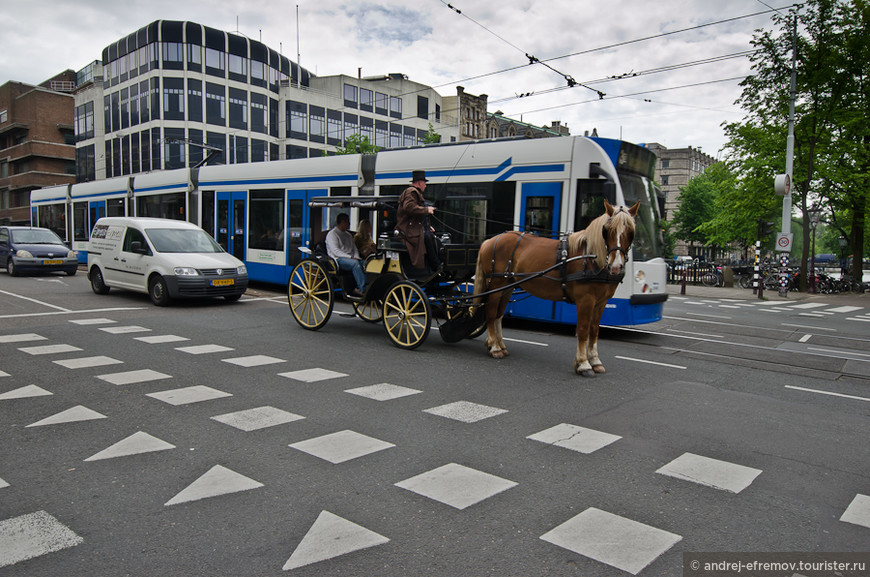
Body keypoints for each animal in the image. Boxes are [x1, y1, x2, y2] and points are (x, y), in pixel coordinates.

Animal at [474, 200, 644, 376]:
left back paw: (499, 345)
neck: (591, 258)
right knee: (491, 313)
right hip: (496, 284)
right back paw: (494, 347)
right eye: (607, 230)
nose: (616, 266)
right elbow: (583, 329)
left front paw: (595, 361)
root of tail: (490, 240)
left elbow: (594, 330)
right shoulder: (585, 300)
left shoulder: (601, 302)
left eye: (631, 231)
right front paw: (583, 364)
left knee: (498, 315)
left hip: (507, 286)